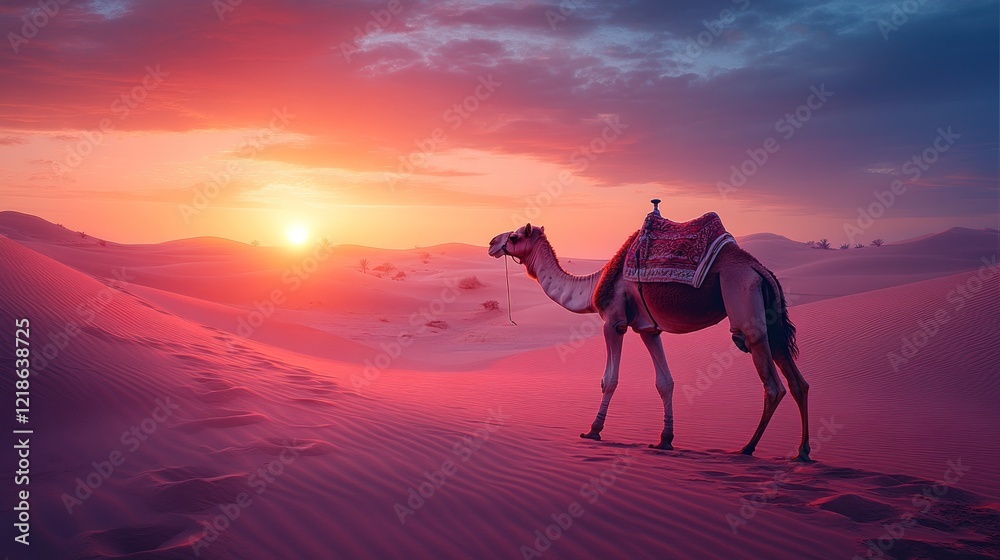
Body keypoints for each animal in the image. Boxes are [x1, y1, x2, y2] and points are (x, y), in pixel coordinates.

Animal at [492, 217, 812, 462]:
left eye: (515, 236)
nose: (492, 242)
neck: (594, 285)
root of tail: (761, 270)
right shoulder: (649, 329)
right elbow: (665, 383)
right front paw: (665, 439)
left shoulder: (614, 322)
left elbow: (609, 380)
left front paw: (593, 430)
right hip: (771, 320)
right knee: (799, 382)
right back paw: (802, 451)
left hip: (745, 305)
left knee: (773, 386)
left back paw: (747, 448)